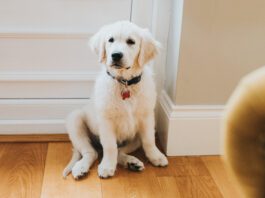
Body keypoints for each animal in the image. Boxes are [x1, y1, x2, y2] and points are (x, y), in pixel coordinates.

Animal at [62, 20, 167, 179]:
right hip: (75, 120)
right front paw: (106, 166)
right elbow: (110, 146)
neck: (125, 83)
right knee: (91, 152)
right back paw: (81, 168)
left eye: (131, 42)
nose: (116, 55)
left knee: (120, 151)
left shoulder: (147, 117)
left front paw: (156, 156)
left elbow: (149, 140)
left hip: (135, 138)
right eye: (110, 40)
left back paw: (132, 162)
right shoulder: (106, 121)